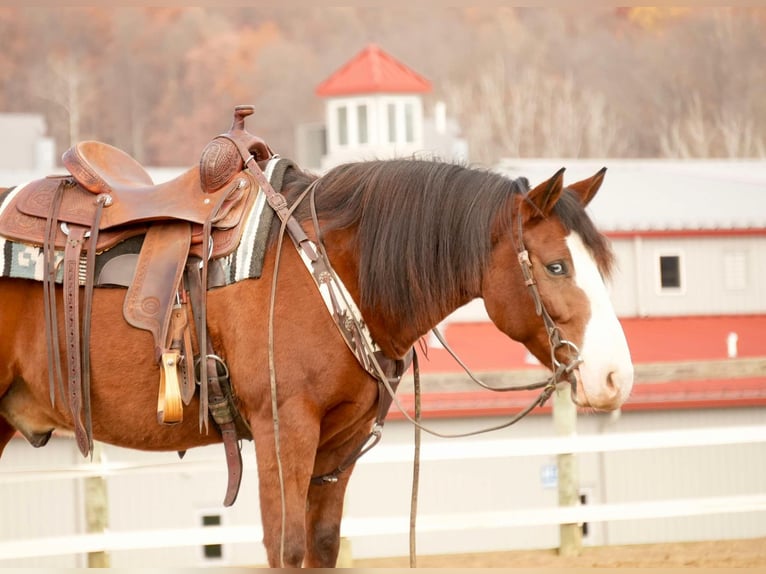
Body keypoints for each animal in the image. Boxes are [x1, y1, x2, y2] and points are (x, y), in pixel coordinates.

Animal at [0, 155, 636, 568]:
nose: (615, 377)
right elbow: (286, 548)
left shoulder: (337, 448)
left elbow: (323, 547)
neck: (331, 271)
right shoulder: (285, 431)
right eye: (555, 266)